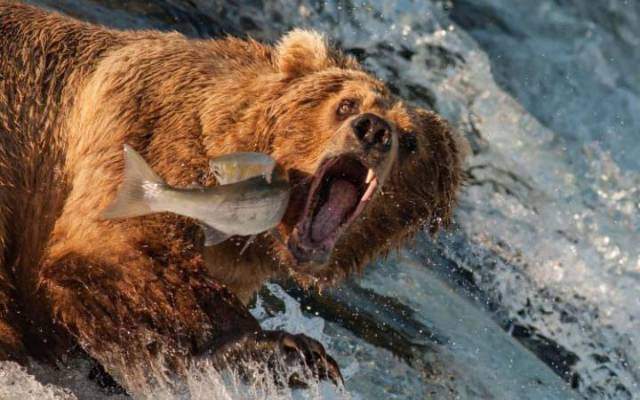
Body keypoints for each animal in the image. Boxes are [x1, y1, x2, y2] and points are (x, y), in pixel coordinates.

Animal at [0, 1, 466, 396]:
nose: (373, 131)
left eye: (411, 141)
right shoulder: (148, 127)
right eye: (347, 103)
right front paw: (289, 348)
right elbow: (114, 254)